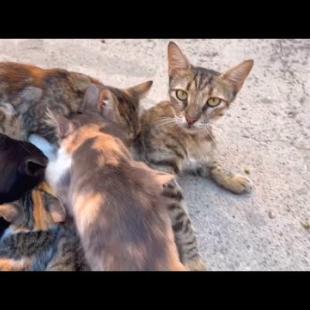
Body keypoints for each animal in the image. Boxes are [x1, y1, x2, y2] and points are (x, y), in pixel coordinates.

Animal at [137, 41, 256, 194]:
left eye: (213, 101)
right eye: (181, 94)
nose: (190, 119)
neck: (193, 139)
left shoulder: (201, 157)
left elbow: (213, 163)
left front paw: (232, 177)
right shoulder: (160, 165)